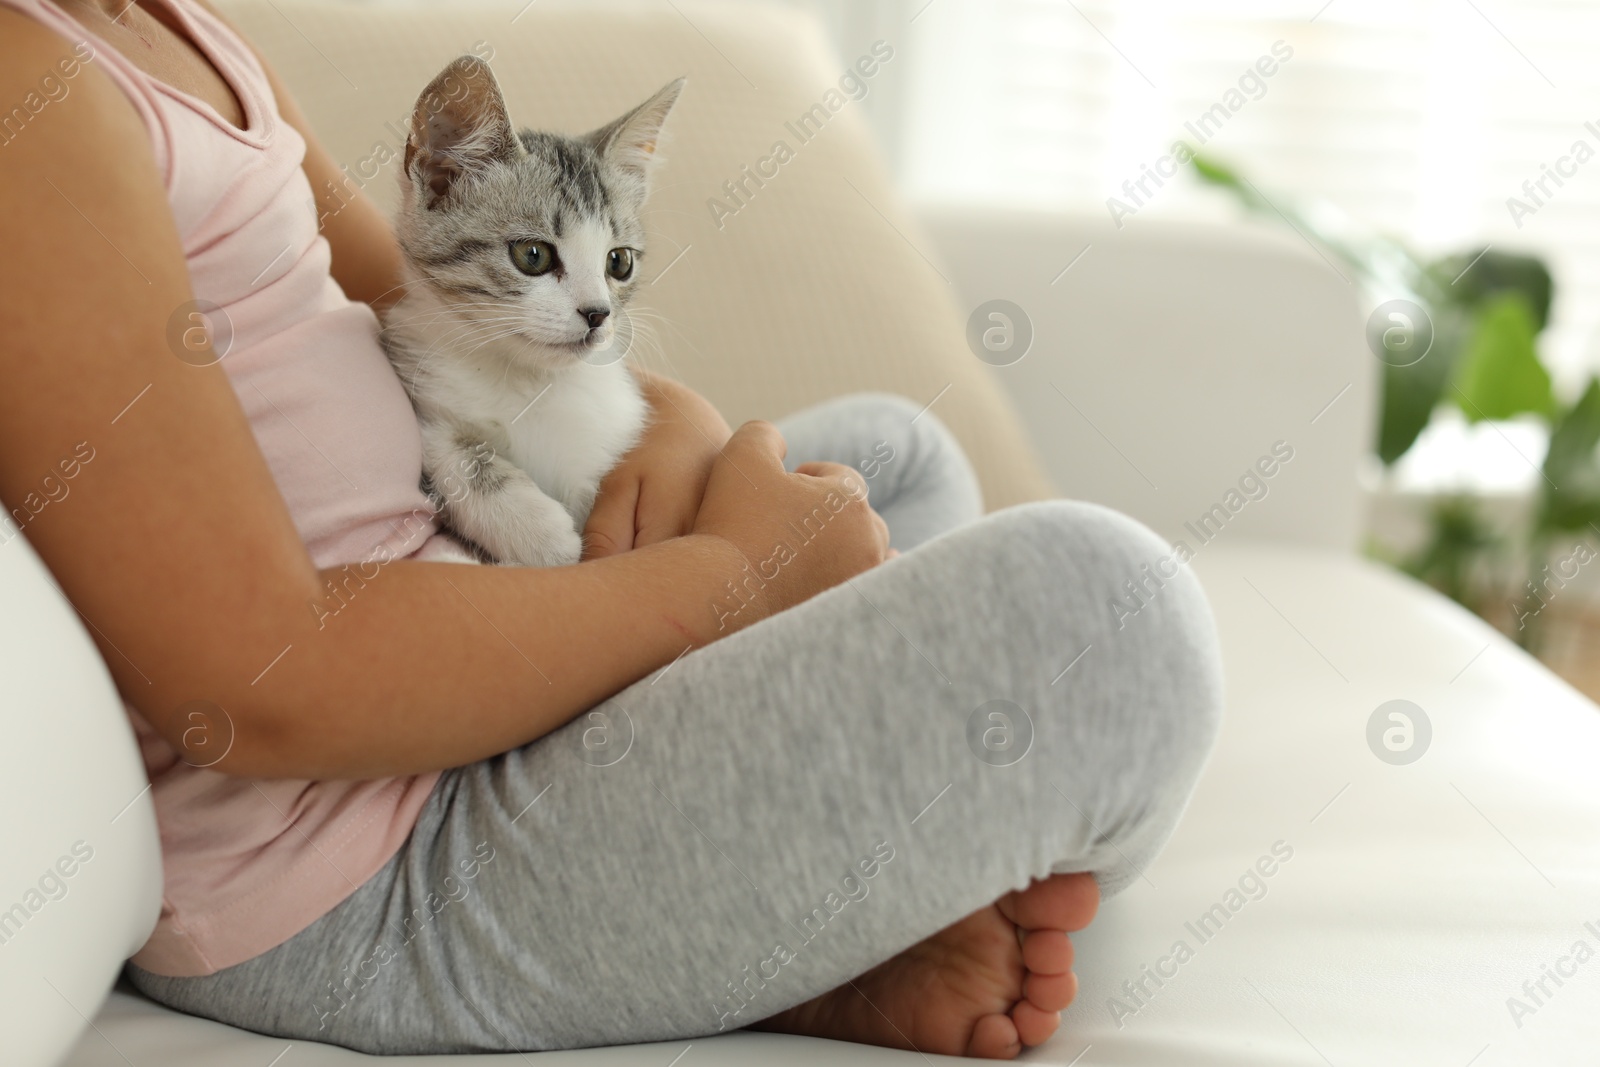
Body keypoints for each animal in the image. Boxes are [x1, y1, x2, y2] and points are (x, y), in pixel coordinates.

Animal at [387, 55, 688, 566]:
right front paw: (541, 535)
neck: (530, 383)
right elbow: (450, 449)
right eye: (533, 255)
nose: (598, 313)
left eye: (619, 262)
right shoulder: (422, 389)